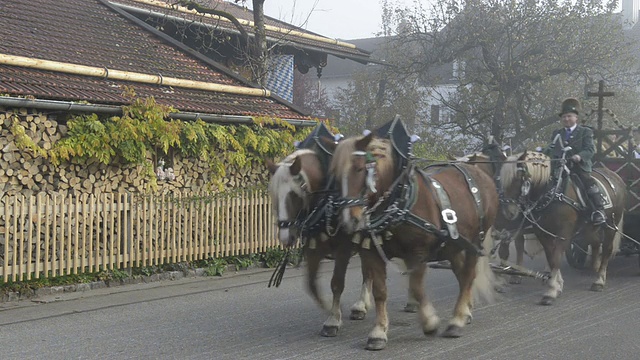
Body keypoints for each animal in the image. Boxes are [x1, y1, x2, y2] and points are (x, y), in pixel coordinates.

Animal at [330, 134, 500, 350]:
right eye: (335, 174)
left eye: (360, 169)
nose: (349, 220)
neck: (399, 201)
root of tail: (479, 172)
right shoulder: (373, 253)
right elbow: (380, 292)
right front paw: (378, 332)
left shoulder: (417, 254)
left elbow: (417, 288)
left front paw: (430, 323)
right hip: (454, 244)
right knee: (462, 275)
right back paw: (465, 312)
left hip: (475, 241)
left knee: (469, 274)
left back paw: (457, 320)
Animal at [500, 150, 624, 306]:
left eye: (517, 178)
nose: (508, 212)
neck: (553, 191)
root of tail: (615, 176)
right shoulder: (542, 232)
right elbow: (551, 257)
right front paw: (557, 285)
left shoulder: (564, 233)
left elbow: (557, 256)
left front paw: (551, 291)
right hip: (589, 228)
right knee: (596, 242)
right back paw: (595, 267)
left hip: (611, 225)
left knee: (607, 249)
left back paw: (599, 280)